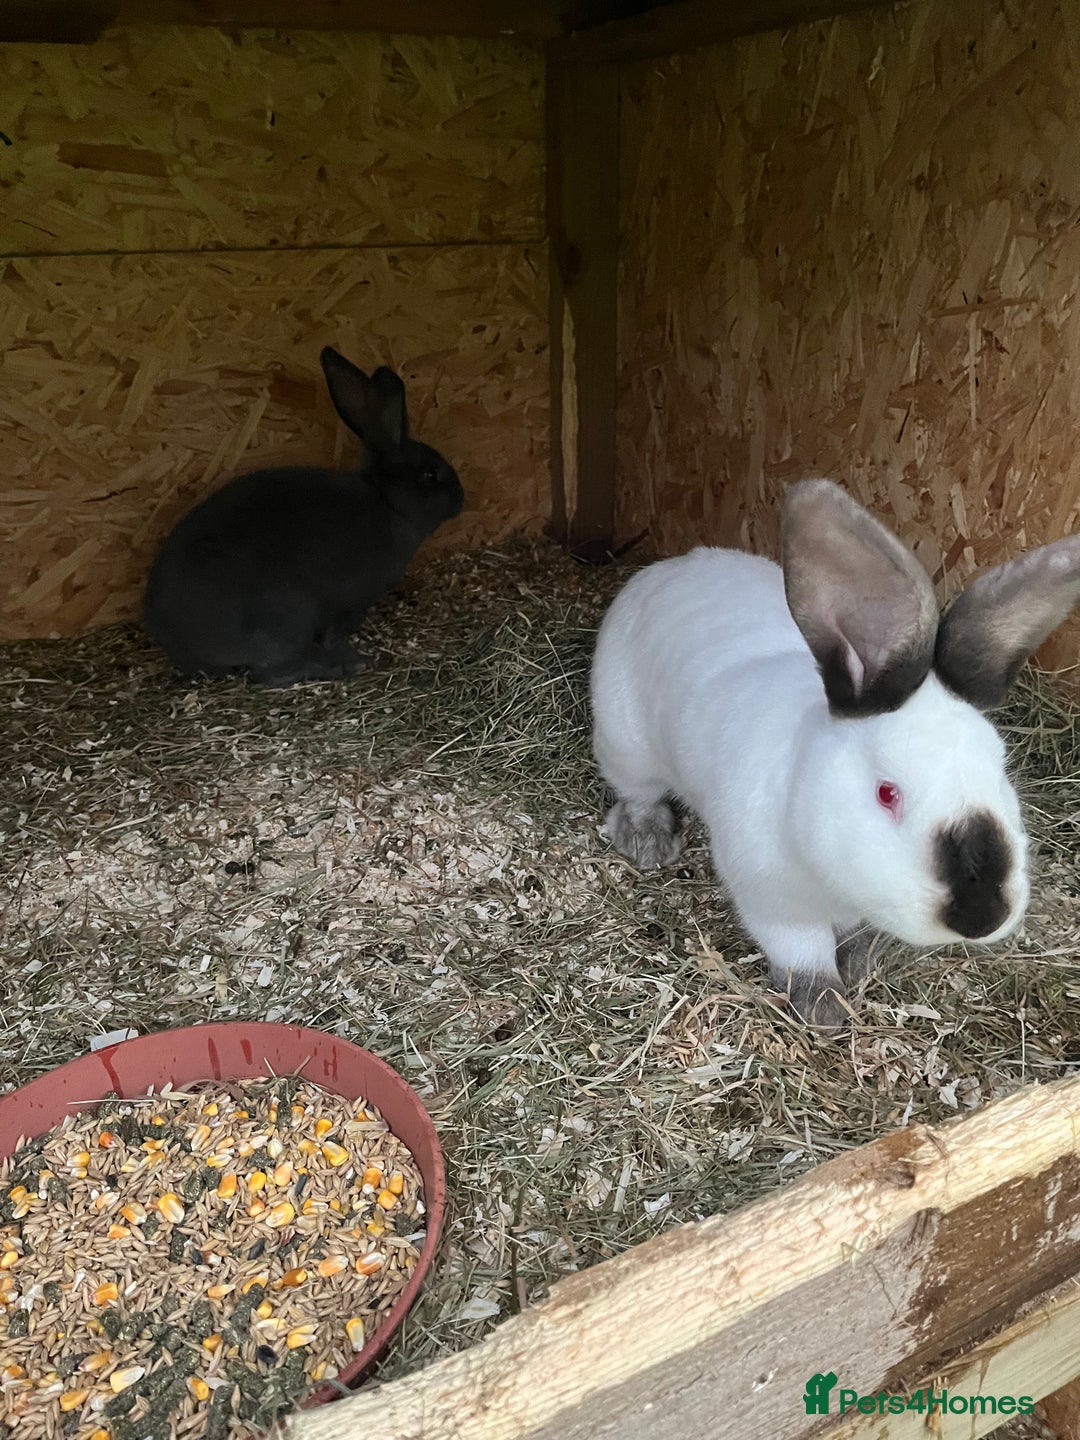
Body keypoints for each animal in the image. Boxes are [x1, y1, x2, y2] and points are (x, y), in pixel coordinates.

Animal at [143, 347, 464, 686]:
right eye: (430, 475)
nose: (461, 498)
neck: (387, 503)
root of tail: (179, 645)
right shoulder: (350, 601)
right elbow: (335, 629)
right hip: (284, 619)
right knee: (269, 673)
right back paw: (342, 664)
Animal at [591, 478, 1080, 1028]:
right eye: (887, 793)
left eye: (1000, 771)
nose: (981, 915)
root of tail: (668, 568)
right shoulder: (772, 901)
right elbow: (802, 952)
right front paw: (824, 1007)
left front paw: (862, 964)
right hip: (623, 743)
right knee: (637, 793)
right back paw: (649, 843)